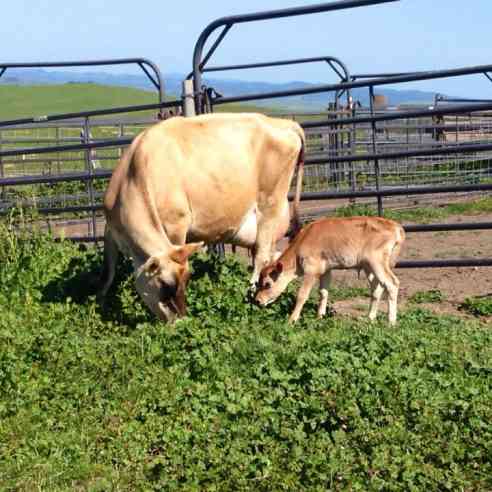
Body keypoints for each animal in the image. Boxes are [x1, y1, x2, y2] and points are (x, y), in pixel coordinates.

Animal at [97, 112, 304, 322]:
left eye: (186, 280)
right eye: (165, 284)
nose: (180, 320)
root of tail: (283, 122)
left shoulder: (176, 224)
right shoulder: (110, 229)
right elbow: (108, 270)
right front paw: (101, 299)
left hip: (269, 205)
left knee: (262, 256)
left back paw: (251, 295)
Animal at [256, 216, 406, 324]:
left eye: (267, 284)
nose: (257, 300)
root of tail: (395, 226)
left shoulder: (311, 270)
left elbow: (302, 294)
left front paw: (291, 320)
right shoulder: (326, 270)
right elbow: (323, 292)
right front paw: (319, 316)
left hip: (377, 262)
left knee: (392, 283)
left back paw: (391, 322)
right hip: (369, 267)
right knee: (377, 288)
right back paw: (370, 318)